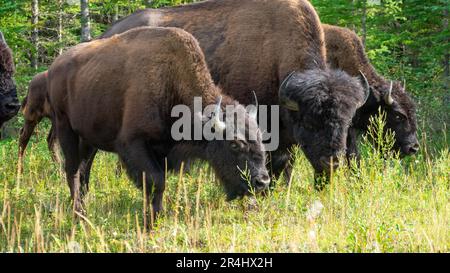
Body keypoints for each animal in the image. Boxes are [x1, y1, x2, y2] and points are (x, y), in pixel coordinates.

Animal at [48, 26, 270, 216]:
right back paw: (78, 212)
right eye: (234, 144)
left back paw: (84, 206)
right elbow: (157, 182)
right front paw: (152, 221)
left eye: (260, 139)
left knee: (84, 170)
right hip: (65, 127)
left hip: (88, 139)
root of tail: (55, 66)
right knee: (72, 170)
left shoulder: (162, 151)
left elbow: (155, 187)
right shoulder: (133, 144)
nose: (262, 181)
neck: (171, 80)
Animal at [99, 1, 370, 183]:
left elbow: (286, 165)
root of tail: (109, 32)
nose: (331, 162)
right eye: (310, 122)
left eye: (347, 123)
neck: (276, 54)